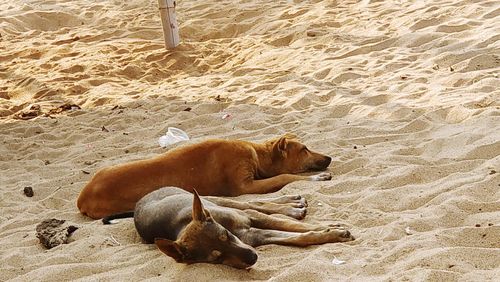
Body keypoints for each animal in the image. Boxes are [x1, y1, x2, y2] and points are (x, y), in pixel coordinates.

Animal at [77, 134, 332, 218]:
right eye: (304, 149)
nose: (329, 158)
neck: (258, 154)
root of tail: (82, 198)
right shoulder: (244, 187)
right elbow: (283, 177)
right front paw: (317, 178)